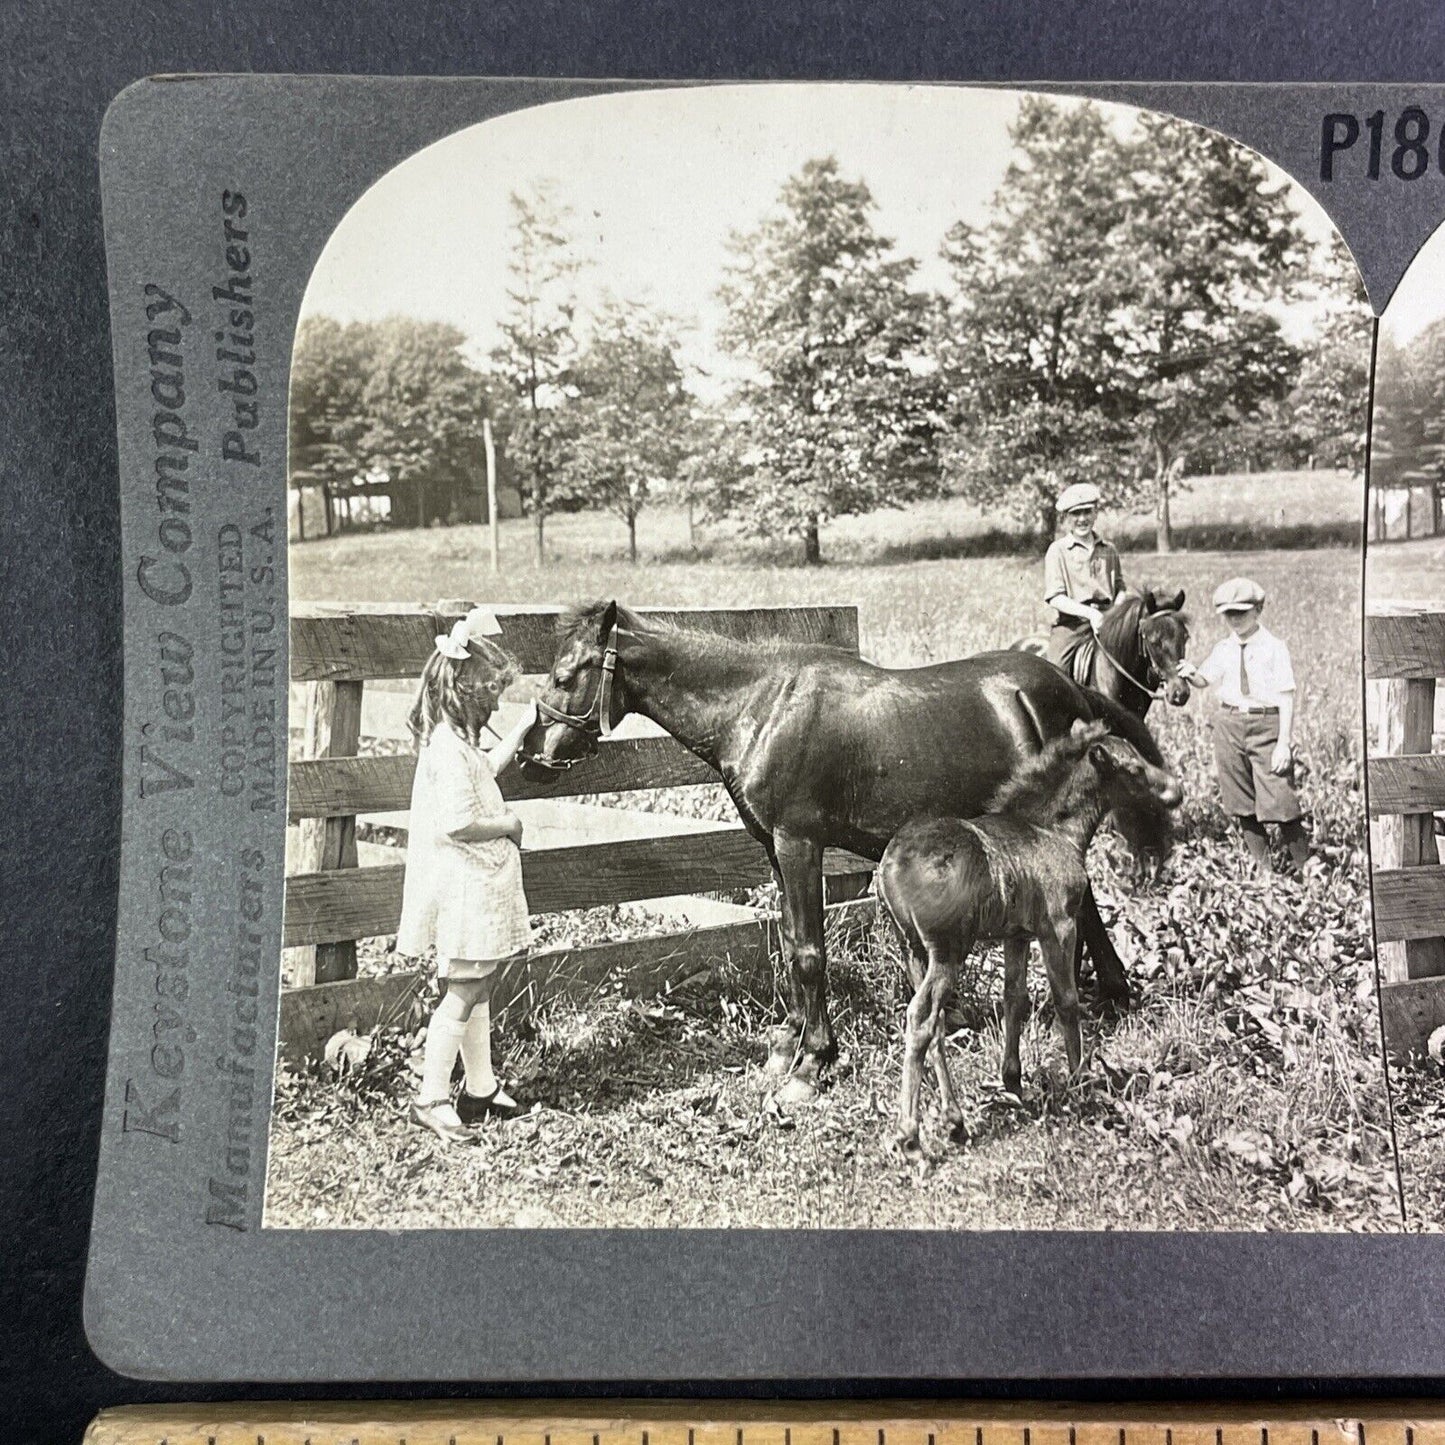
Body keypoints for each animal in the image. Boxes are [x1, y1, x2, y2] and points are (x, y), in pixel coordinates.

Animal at [520, 604, 1173, 1098]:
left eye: (565, 674)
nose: (532, 755)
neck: (760, 706)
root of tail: (1069, 688)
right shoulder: (773, 848)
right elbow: (789, 941)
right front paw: (788, 1041)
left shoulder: (799, 843)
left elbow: (810, 952)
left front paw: (813, 1061)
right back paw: (1106, 993)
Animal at [872, 716, 1179, 1156]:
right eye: (1135, 768)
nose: (1175, 791)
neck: (1053, 828)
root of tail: (891, 867)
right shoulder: (1059, 926)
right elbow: (1066, 1000)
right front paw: (1080, 1080)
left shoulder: (1016, 935)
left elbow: (1014, 999)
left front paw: (1013, 1081)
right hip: (948, 951)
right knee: (922, 1016)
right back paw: (910, 1133)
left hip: (913, 950)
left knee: (935, 1026)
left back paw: (955, 1120)